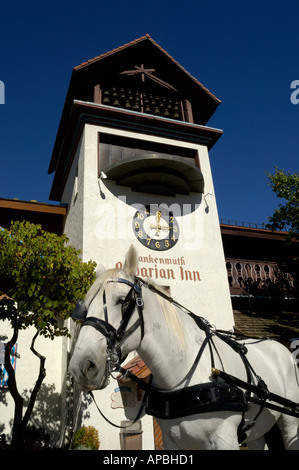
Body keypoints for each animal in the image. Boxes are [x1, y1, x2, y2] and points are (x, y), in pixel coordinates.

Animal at [69, 244, 299, 450]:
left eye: (120, 300)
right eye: (85, 307)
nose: (81, 367)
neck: (182, 375)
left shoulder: (224, 440)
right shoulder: (173, 442)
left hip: (290, 423)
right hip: (256, 433)